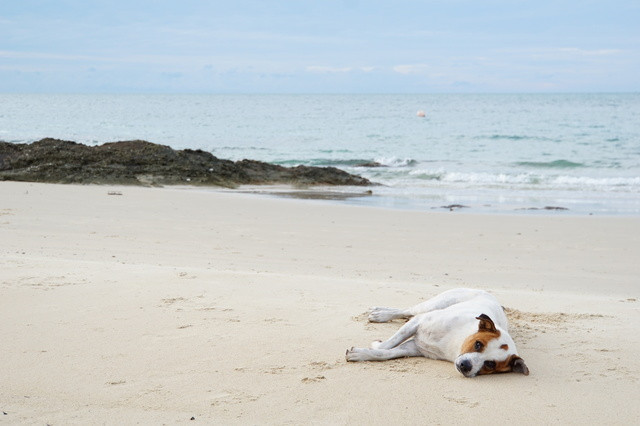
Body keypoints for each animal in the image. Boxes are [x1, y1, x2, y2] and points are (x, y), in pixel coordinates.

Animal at [344, 288, 528, 378]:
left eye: (490, 364)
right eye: (478, 344)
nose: (465, 366)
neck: (457, 342)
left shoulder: (414, 348)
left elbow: (386, 354)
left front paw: (361, 354)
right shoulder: (419, 322)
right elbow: (389, 343)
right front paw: (376, 345)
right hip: (433, 305)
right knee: (407, 310)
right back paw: (381, 314)